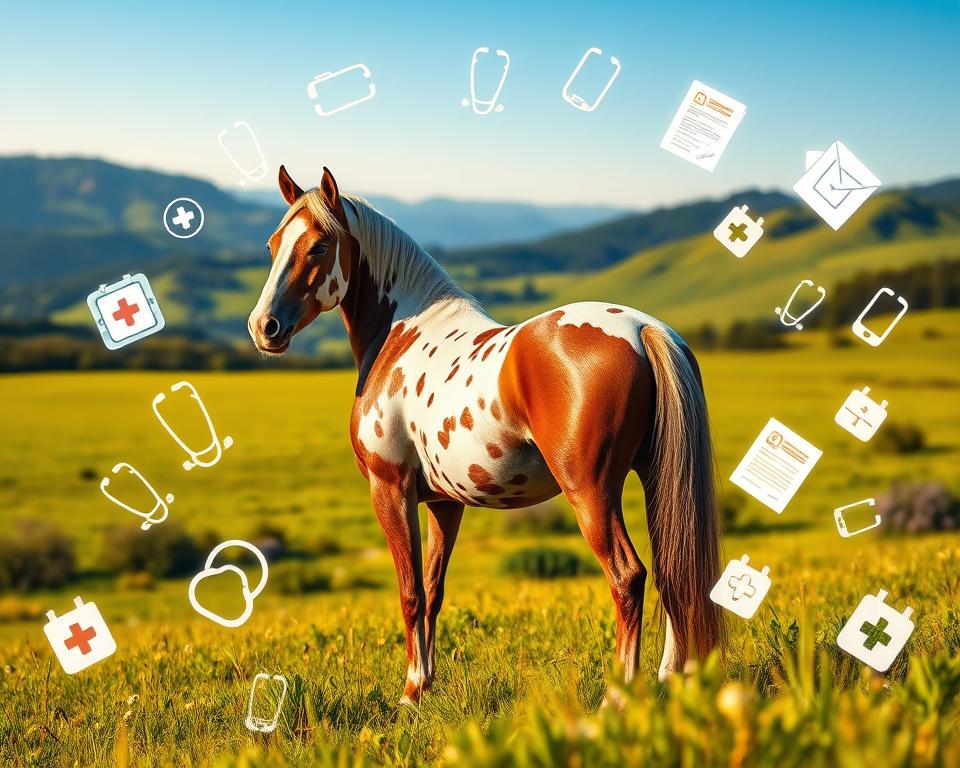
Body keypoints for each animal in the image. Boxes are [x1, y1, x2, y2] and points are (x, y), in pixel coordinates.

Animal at [248, 165, 724, 704]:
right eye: (272, 245)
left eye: (318, 247)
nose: (264, 327)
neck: (399, 333)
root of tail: (643, 329)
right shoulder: (442, 502)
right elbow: (433, 590)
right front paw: (426, 686)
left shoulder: (389, 489)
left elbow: (409, 592)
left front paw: (409, 692)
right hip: (655, 477)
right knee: (673, 572)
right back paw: (672, 681)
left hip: (592, 492)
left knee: (629, 576)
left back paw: (618, 696)